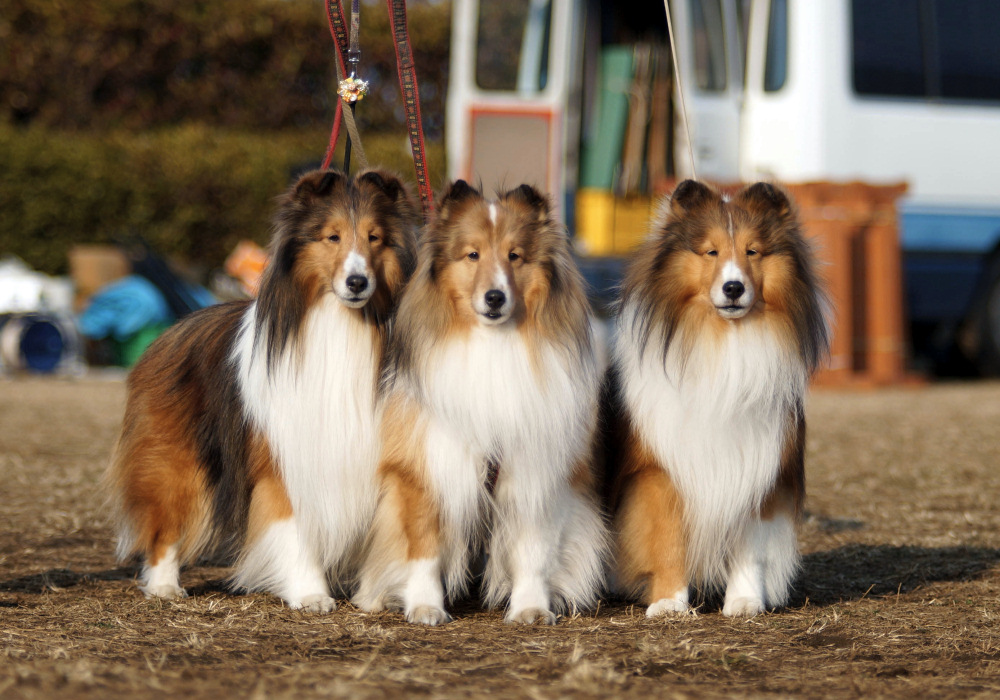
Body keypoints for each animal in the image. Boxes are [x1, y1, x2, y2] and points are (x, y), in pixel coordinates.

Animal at [107, 167, 420, 608]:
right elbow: (295, 529)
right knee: (165, 525)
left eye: (375, 237)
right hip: (175, 462)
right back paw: (165, 586)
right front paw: (311, 594)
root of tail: (171, 330)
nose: (358, 282)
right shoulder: (281, 457)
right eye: (333, 237)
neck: (340, 324)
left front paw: (375, 597)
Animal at [352, 180, 608, 624]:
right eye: (472, 255)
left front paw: (531, 607)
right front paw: (425, 605)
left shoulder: (534, 468)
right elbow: (424, 547)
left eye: (514, 255)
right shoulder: (425, 467)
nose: (494, 298)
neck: (493, 343)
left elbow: (533, 549)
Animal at [600, 180, 828, 616]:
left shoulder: (757, 461)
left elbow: (750, 544)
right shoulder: (660, 470)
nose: (733, 288)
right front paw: (669, 603)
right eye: (711, 252)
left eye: (753, 251)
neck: (725, 342)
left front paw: (745, 601)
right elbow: (668, 539)